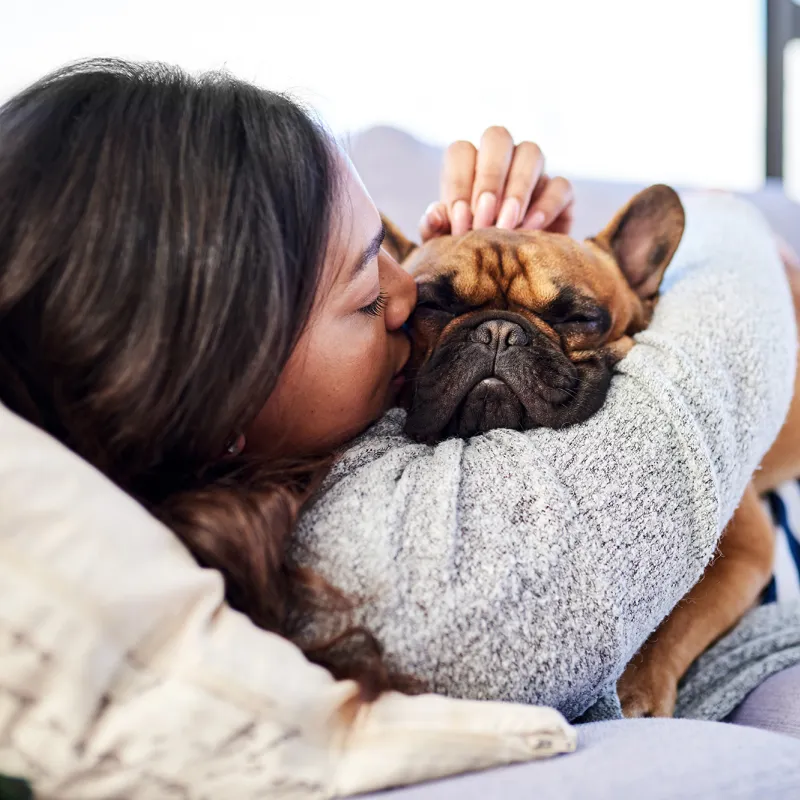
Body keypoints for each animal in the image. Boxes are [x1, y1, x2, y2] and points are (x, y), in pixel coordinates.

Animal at [380, 188, 800, 720]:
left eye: (579, 318)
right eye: (431, 306)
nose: (497, 332)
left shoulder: (744, 548)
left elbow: (676, 617)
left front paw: (638, 689)